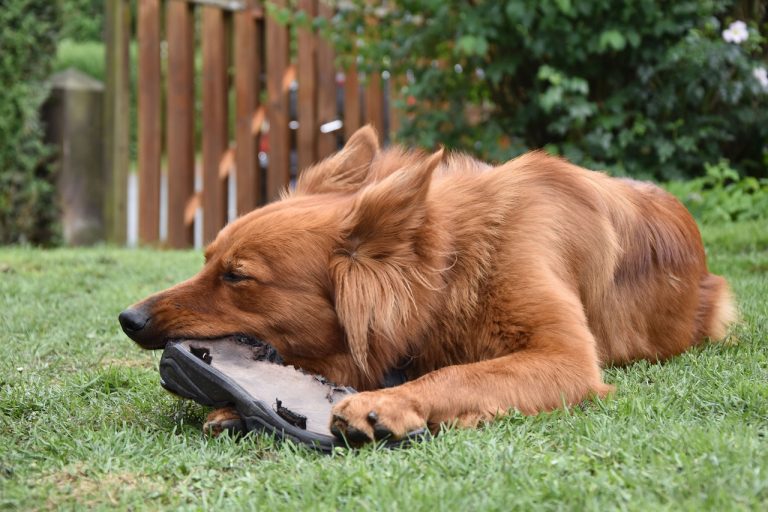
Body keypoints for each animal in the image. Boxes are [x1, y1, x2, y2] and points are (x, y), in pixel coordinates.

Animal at [121, 125, 736, 444]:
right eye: (207, 261)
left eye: (236, 275)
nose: (129, 319)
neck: (453, 264)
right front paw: (235, 408)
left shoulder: (565, 356)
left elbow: (460, 373)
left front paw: (390, 403)